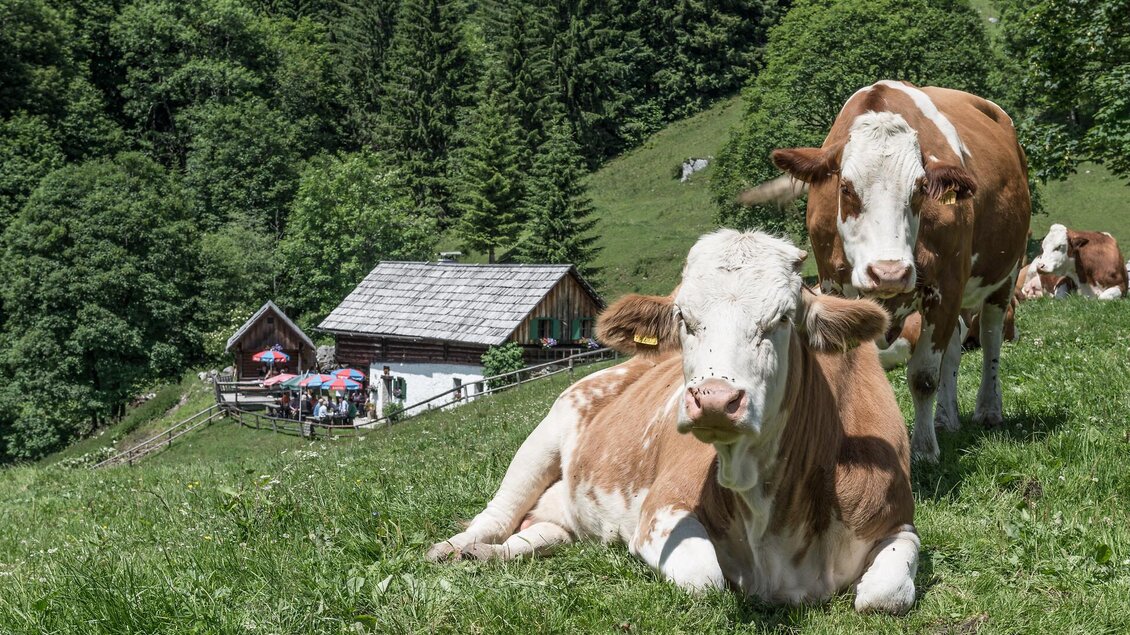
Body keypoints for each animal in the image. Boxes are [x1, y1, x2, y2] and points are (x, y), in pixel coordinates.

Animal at [428, 230, 919, 614]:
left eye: (783, 318)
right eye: (684, 317)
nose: (715, 399)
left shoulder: (899, 522)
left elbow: (883, 595)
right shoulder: (661, 508)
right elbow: (707, 581)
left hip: (562, 512)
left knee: (537, 533)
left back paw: (484, 555)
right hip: (545, 433)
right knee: (496, 515)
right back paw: (453, 549)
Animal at [740, 81, 1031, 461]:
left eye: (920, 189)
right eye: (845, 188)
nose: (889, 273)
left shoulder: (946, 287)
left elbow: (924, 376)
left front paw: (923, 449)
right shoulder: (833, 287)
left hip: (1006, 273)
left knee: (991, 336)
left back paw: (988, 409)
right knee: (954, 347)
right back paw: (946, 418)